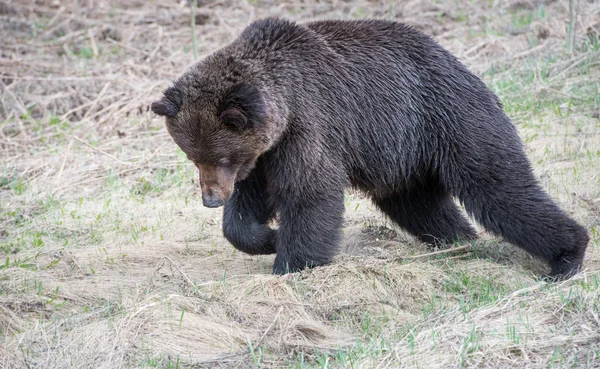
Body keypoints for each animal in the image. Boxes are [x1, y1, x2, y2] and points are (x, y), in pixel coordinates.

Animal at [152, 16, 588, 278]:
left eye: (221, 155)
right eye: (192, 156)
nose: (210, 198)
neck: (283, 103)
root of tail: (468, 70)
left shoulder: (309, 126)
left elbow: (310, 193)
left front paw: (292, 263)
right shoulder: (265, 154)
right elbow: (248, 206)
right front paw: (266, 238)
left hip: (453, 122)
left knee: (500, 190)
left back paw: (567, 256)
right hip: (403, 159)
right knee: (420, 205)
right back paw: (456, 241)